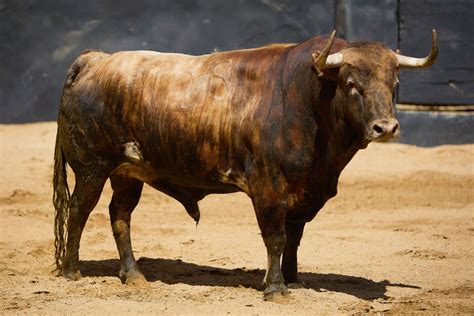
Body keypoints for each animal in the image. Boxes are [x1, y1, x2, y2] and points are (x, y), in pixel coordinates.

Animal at [51, 28, 436, 298]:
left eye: (394, 82)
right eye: (352, 83)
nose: (385, 128)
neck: (307, 97)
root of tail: (94, 59)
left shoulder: (302, 191)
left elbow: (294, 238)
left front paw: (294, 280)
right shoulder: (269, 188)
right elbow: (276, 238)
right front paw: (276, 289)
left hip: (128, 172)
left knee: (120, 215)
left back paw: (132, 275)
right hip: (92, 167)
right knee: (80, 209)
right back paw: (72, 271)